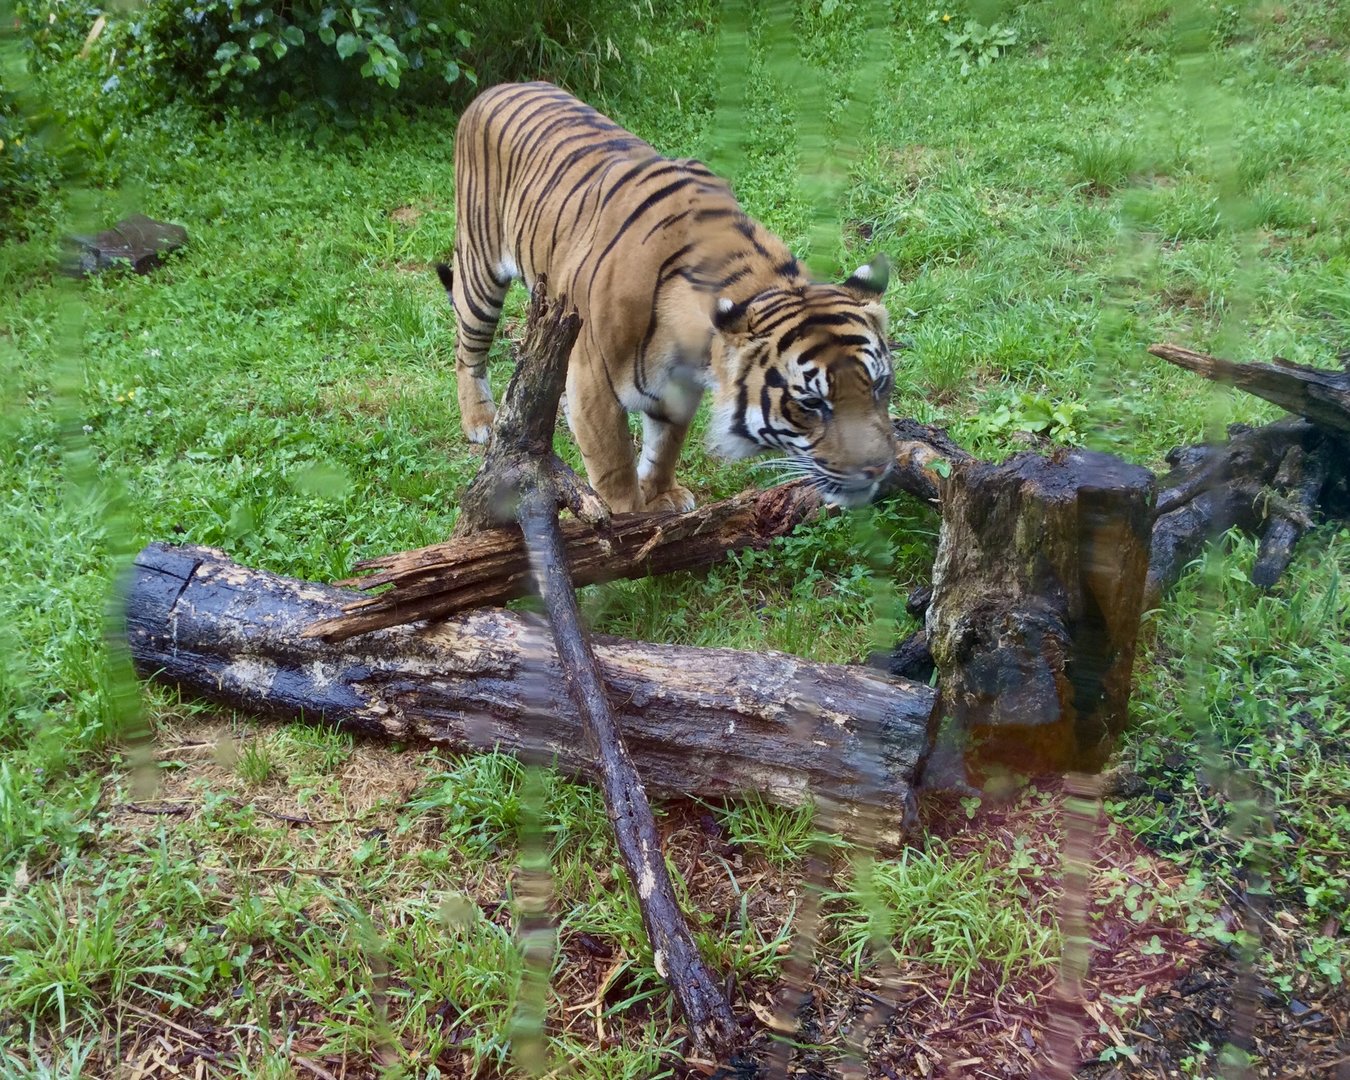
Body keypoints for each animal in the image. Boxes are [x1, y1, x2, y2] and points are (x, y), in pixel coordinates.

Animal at [438, 80, 897, 514]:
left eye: (879, 385)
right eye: (811, 403)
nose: (879, 469)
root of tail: (501, 87)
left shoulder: (677, 388)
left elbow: (665, 446)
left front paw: (661, 496)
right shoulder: (593, 383)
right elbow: (614, 466)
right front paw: (628, 525)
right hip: (480, 270)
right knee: (467, 349)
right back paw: (480, 419)